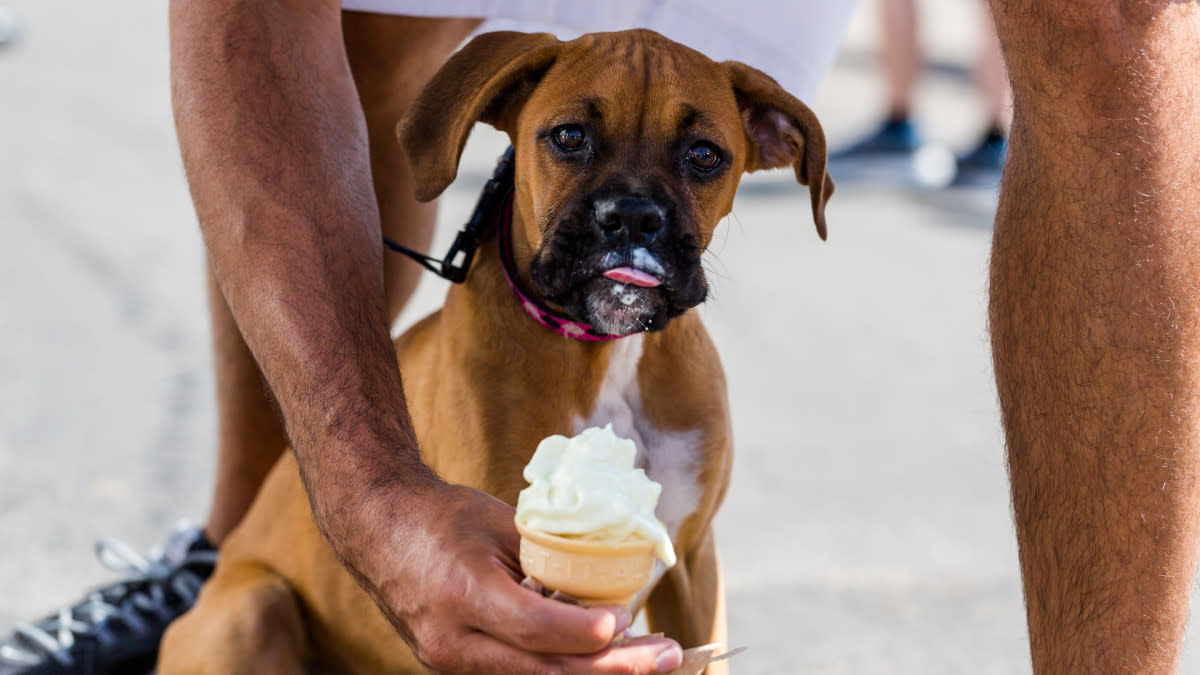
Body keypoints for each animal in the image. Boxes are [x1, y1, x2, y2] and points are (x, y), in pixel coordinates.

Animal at [159, 27, 830, 672]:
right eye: (569, 136)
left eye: (704, 156)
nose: (633, 216)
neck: (606, 356)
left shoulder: (693, 565)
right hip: (250, 609)